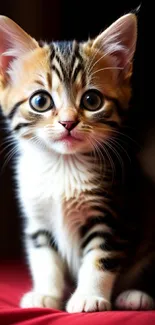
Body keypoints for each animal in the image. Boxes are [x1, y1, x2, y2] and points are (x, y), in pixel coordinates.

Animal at [0, 13, 154, 312]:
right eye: (40, 101)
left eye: (92, 100)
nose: (68, 122)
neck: (62, 165)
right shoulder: (37, 220)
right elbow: (45, 259)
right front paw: (45, 294)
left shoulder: (111, 214)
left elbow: (100, 259)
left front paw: (89, 297)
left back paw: (136, 294)